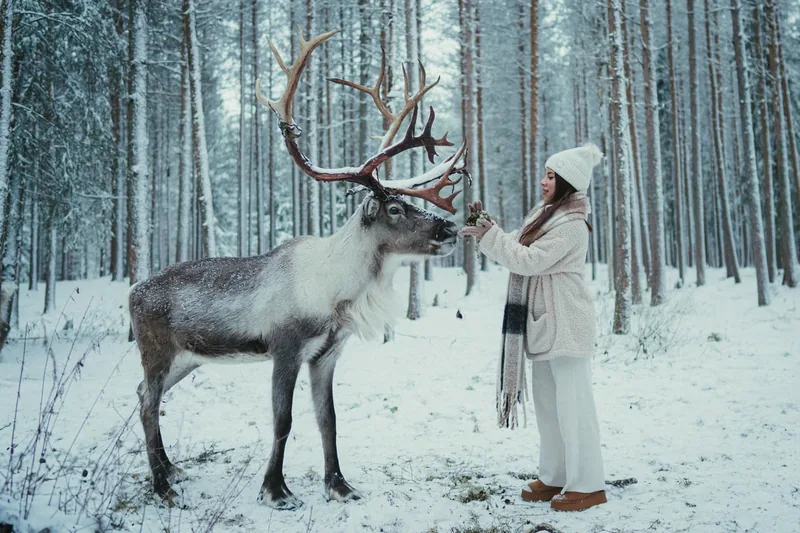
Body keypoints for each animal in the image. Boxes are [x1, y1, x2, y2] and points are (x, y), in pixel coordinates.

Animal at [128, 28, 468, 510]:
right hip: (155, 350)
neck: (339, 292)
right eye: (395, 208)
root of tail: (132, 292)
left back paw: (170, 468)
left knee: (143, 395)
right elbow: (283, 420)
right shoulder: (285, 348)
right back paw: (161, 486)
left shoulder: (327, 354)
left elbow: (329, 420)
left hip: (187, 358)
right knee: (146, 401)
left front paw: (340, 485)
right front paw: (276, 489)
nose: (450, 228)